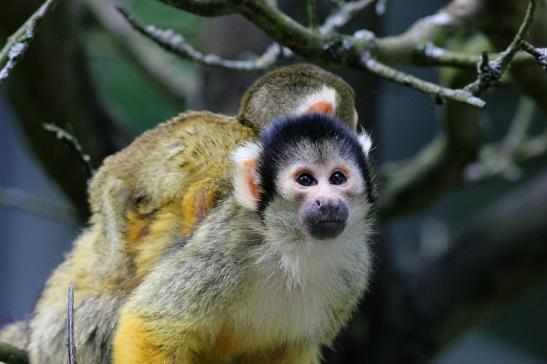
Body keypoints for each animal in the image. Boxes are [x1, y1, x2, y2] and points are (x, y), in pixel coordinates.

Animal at [113, 114, 374, 364]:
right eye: (305, 180)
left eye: (337, 178)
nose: (327, 202)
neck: (294, 250)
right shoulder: (227, 245)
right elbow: (149, 326)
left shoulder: (354, 268)